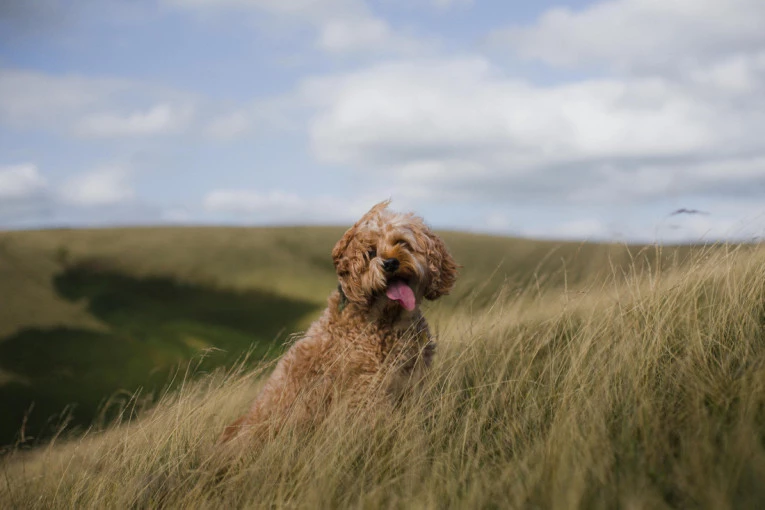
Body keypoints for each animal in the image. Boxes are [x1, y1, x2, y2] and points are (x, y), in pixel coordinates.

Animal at [219, 201, 458, 444]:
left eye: (402, 243)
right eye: (371, 252)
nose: (390, 263)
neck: (387, 320)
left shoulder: (412, 382)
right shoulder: (368, 390)